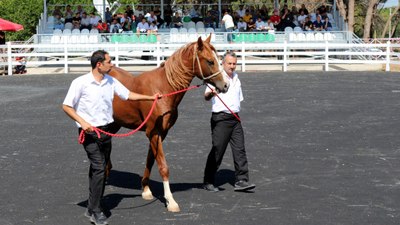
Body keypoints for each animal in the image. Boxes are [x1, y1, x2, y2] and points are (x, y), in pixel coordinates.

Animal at [108, 36, 230, 212]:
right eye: (210, 61)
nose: (226, 85)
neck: (162, 90)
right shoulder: (153, 133)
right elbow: (163, 166)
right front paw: (170, 201)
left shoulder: (161, 133)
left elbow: (151, 160)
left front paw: (146, 190)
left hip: (114, 124)